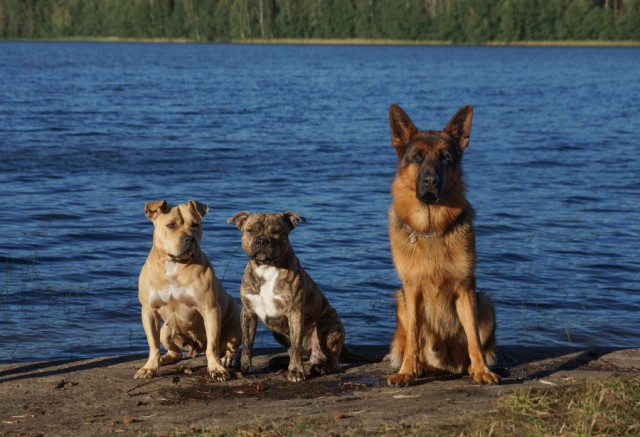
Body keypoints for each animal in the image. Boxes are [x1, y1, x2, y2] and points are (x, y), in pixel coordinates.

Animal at [136, 199, 241, 380]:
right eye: (171, 225)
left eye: (195, 225)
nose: (190, 239)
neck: (173, 264)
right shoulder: (149, 311)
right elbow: (153, 344)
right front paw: (149, 367)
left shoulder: (210, 309)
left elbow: (212, 346)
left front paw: (216, 369)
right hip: (165, 330)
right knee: (175, 351)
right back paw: (165, 358)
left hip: (235, 326)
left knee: (229, 347)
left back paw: (227, 359)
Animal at [384, 104, 500, 384]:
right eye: (417, 157)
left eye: (445, 157)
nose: (430, 181)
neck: (432, 230)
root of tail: (445, 364)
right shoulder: (412, 290)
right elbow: (413, 339)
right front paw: (406, 372)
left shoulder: (466, 287)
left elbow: (473, 338)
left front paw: (482, 370)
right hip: (401, 301)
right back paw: (419, 366)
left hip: (485, 303)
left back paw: (469, 367)